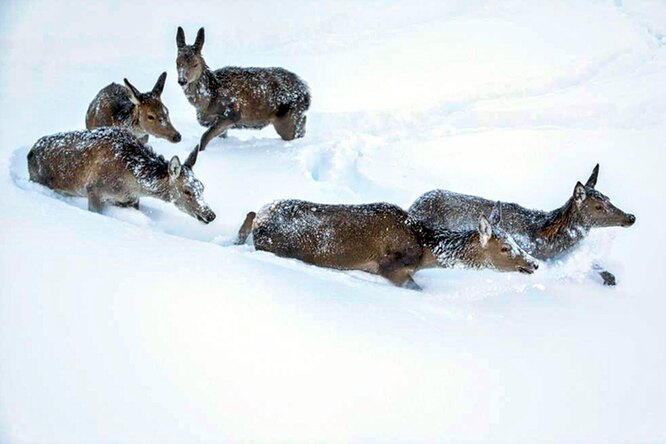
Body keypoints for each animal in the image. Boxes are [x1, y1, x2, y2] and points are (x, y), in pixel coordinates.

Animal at [27, 125, 215, 224]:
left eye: (202, 187)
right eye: (187, 191)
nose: (210, 215)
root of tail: (30, 152)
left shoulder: (130, 200)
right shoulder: (93, 190)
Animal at [176, 26, 312, 150]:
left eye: (195, 64)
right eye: (177, 62)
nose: (182, 81)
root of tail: (307, 92)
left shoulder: (233, 112)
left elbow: (204, 138)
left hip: (287, 119)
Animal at [236, 199, 536, 290]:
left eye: (516, 241)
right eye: (504, 248)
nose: (533, 264)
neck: (425, 248)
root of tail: (261, 218)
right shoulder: (390, 266)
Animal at [410, 165, 632, 286]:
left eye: (609, 199)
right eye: (598, 207)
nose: (631, 217)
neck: (550, 237)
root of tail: (414, 205)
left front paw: (610, 278)